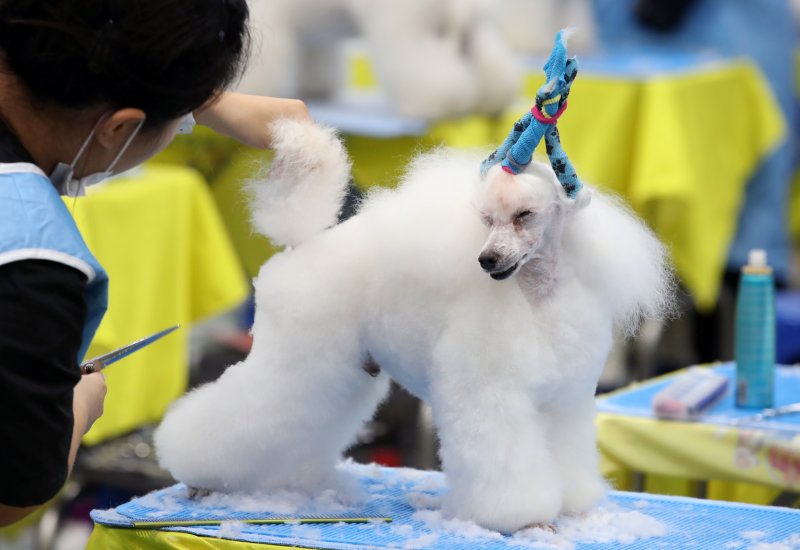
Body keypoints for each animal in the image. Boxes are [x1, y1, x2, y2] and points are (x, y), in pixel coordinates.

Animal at [153, 121, 672, 536]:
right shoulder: (491, 397)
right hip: (293, 360)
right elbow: (506, 466)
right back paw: (197, 475)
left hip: (342, 374)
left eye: (524, 215)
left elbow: (565, 455)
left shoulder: (565, 401)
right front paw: (524, 519)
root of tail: (301, 246)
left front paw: (572, 506)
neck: (535, 297)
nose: (487, 260)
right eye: (486, 219)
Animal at [238, 0, 520, 119]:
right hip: (475, 29)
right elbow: (316, 63)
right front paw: (314, 89)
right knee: (492, 67)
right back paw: (490, 101)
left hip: (409, 30)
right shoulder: (315, 39)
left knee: (432, 76)